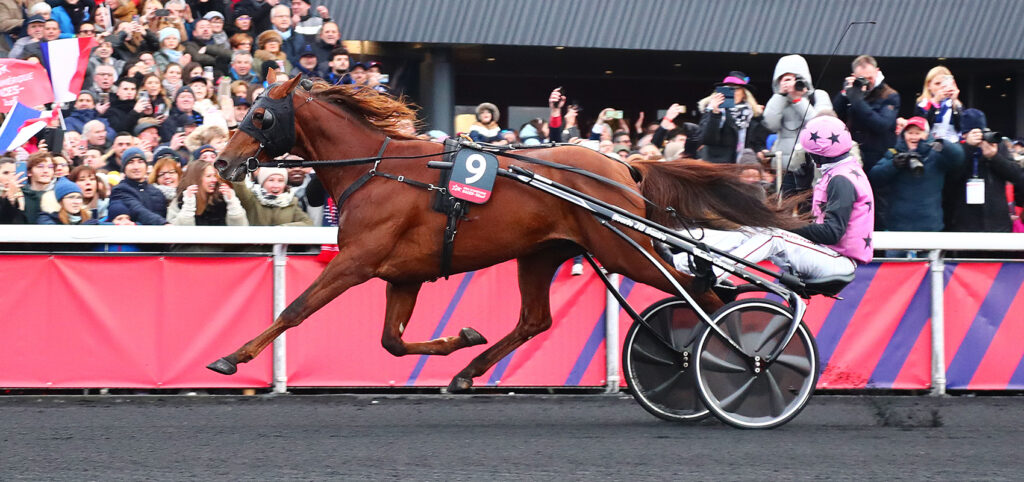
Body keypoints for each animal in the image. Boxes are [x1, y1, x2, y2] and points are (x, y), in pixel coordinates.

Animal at [207, 71, 798, 392]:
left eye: (260, 115)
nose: (223, 164)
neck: (375, 167)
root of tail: (624, 166)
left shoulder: (357, 261)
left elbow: (295, 309)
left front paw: (232, 356)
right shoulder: (404, 275)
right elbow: (392, 342)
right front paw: (461, 338)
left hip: (624, 250)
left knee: (703, 292)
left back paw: (741, 359)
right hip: (541, 253)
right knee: (535, 319)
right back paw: (470, 368)